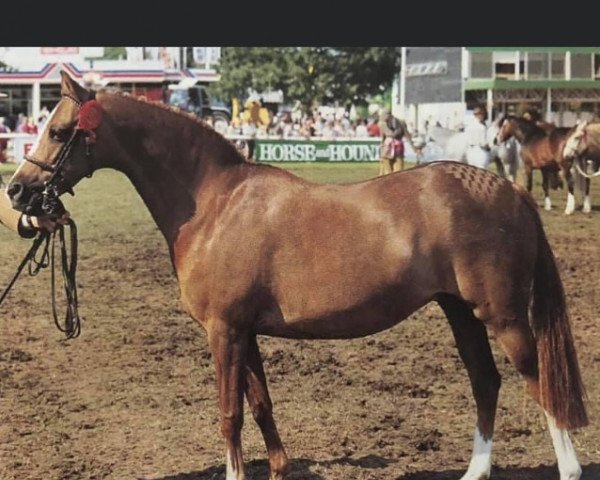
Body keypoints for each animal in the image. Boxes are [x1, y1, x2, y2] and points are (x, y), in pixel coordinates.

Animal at [7, 71, 588, 480]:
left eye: (59, 131)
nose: (17, 191)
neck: (215, 203)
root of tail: (506, 188)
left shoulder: (224, 331)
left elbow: (230, 413)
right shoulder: (245, 332)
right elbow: (261, 405)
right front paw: (281, 467)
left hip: (502, 316)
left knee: (540, 383)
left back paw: (568, 465)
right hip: (460, 312)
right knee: (485, 381)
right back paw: (476, 469)